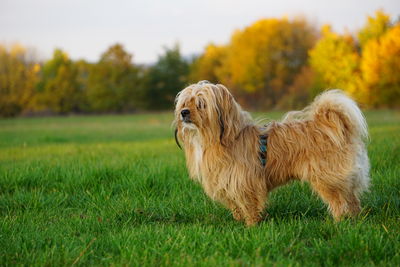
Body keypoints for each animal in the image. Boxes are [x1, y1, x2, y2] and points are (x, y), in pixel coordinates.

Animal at [173, 81, 370, 226]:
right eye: (184, 103)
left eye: (201, 104)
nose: (184, 112)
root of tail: (336, 127)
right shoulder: (226, 182)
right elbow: (235, 205)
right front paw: (239, 220)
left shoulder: (245, 182)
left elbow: (249, 205)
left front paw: (251, 225)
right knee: (352, 200)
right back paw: (355, 219)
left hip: (327, 178)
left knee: (340, 202)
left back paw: (339, 222)